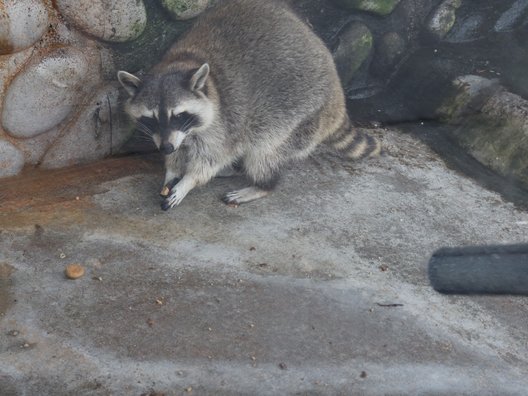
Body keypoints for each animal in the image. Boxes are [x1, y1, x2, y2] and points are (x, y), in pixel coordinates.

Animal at [116, 0, 380, 210]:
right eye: (151, 119)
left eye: (178, 115)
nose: (166, 148)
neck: (181, 62)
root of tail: (337, 97)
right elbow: (179, 152)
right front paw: (171, 170)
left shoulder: (225, 122)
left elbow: (210, 159)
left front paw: (188, 181)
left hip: (300, 116)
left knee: (265, 152)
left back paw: (262, 184)